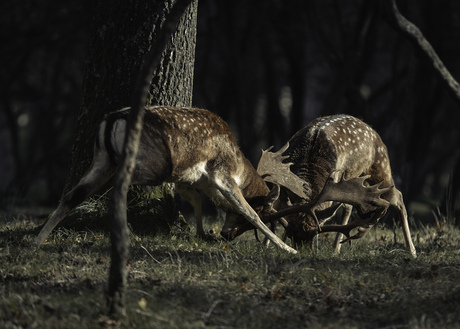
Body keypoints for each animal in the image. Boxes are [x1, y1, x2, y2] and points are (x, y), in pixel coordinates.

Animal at [221, 114, 418, 258]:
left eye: (314, 235)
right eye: (291, 235)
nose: (304, 254)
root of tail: (375, 133)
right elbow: (274, 212)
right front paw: (265, 246)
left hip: (381, 166)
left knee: (397, 196)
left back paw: (412, 251)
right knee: (348, 207)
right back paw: (336, 248)